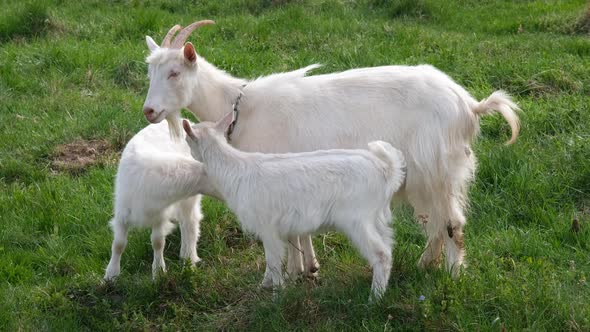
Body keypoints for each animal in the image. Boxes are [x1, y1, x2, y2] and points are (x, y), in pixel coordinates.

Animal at [104, 120, 220, 280]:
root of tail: (187, 121)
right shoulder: (122, 213)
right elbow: (118, 244)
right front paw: (111, 275)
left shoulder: (159, 216)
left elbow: (158, 242)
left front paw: (158, 272)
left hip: (188, 200)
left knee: (189, 222)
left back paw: (188, 258)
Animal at [143, 20, 524, 278]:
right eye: (151, 73)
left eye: (175, 72)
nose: (149, 111)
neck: (240, 106)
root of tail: (468, 105)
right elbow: (300, 228)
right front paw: (309, 267)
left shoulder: (276, 176)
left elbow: (290, 232)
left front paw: (295, 271)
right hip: (423, 178)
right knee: (434, 223)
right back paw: (423, 264)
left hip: (438, 171)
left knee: (452, 223)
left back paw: (453, 275)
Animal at [184, 112, 408, 300]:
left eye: (187, 140)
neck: (234, 168)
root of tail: (385, 168)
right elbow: (270, 263)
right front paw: (263, 286)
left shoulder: (268, 227)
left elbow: (274, 261)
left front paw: (276, 296)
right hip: (377, 218)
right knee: (389, 247)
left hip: (357, 219)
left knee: (381, 254)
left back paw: (374, 298)